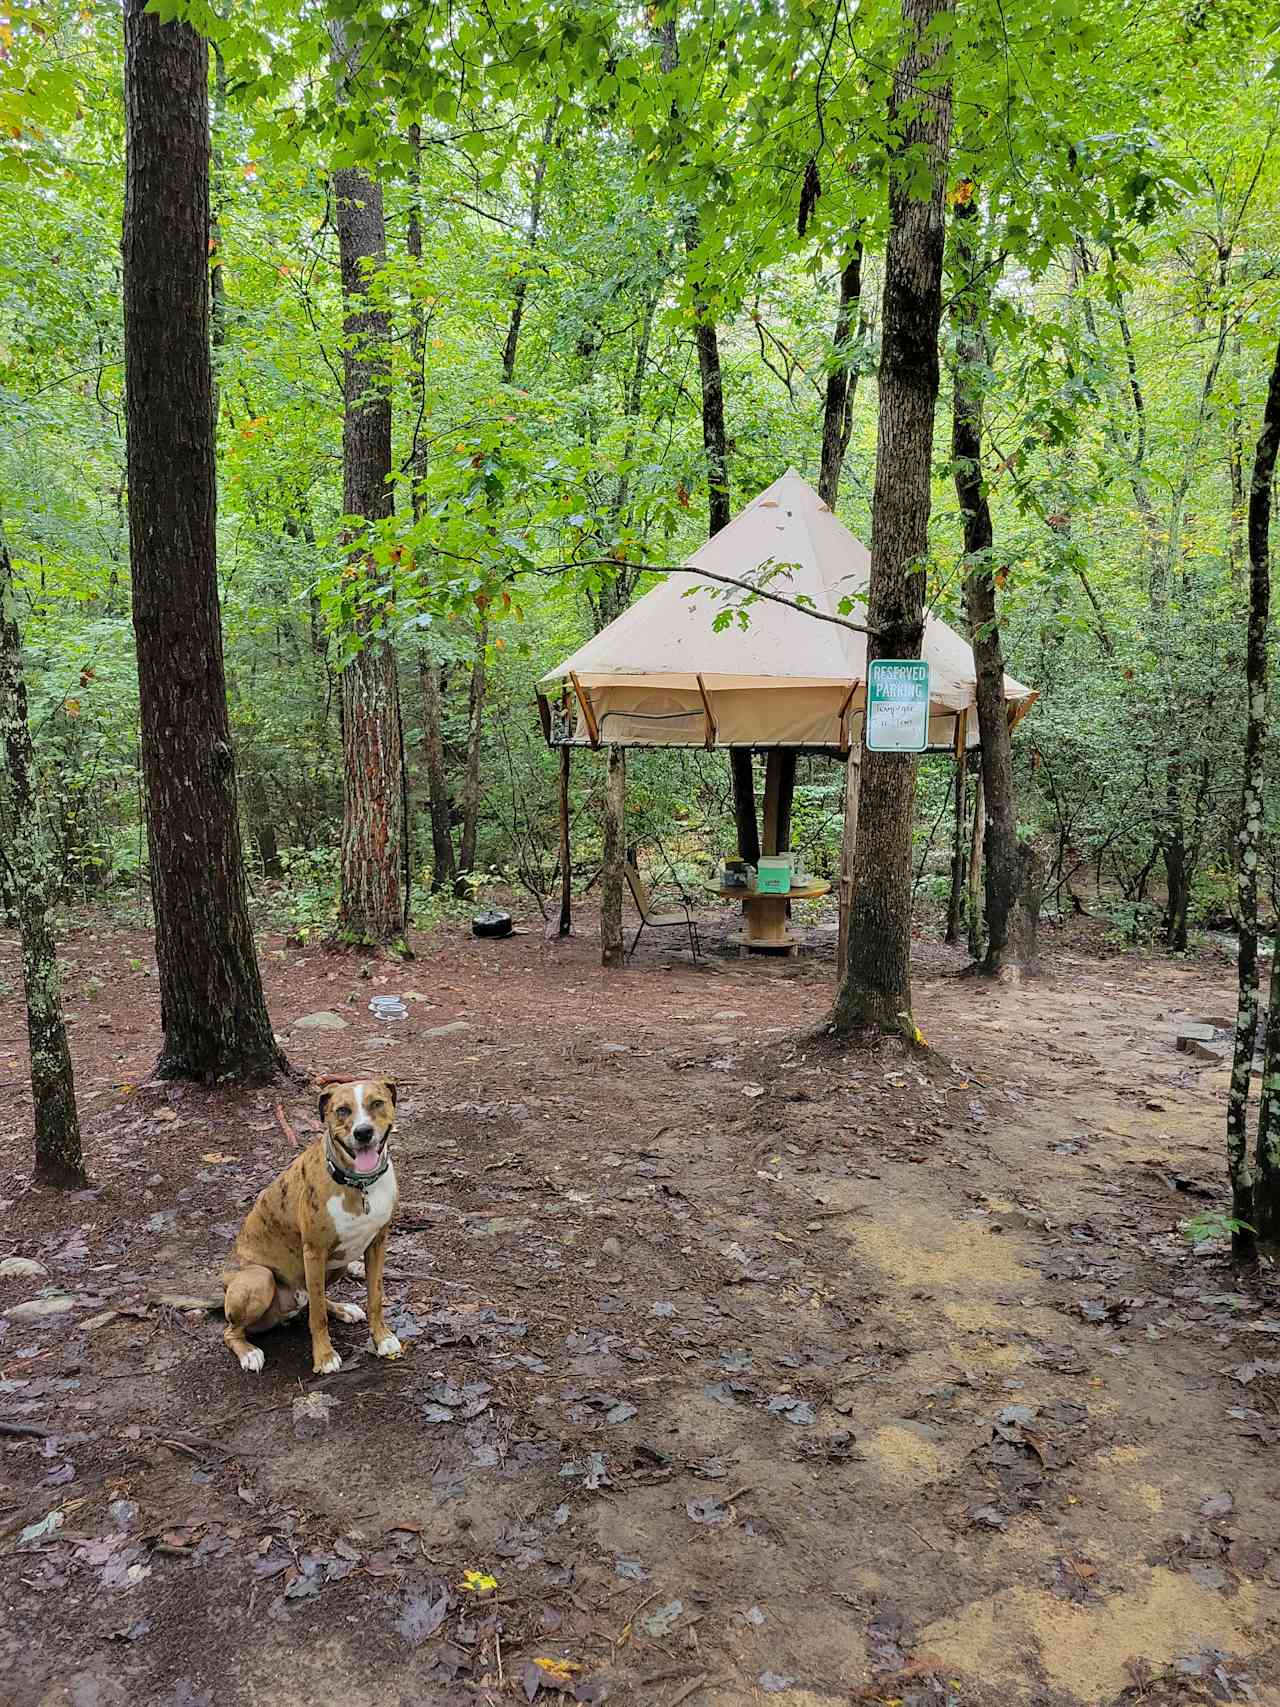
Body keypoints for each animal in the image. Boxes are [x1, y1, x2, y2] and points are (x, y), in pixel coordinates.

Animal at [220, 1078, 401, 1372]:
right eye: (342, 1110)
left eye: (377, 1103)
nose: (363, 1132)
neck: (359, 1185)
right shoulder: (314, 1252)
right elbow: (317, 1317)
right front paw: (325, 1357)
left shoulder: (377, 1243)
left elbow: (375, 1297)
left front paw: (382, 1338)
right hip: (260, 1279)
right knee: (231, 1330)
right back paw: (248, 1352)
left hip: (337, 1265)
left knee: (314, 1299)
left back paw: (343, 1309)